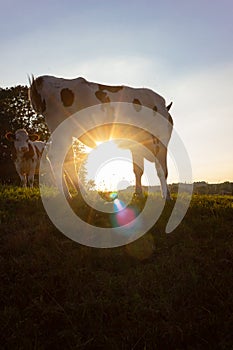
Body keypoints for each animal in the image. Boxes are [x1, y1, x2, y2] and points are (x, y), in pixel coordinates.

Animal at [29, 75, 174, 198]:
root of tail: (42, 80)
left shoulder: (136, 143)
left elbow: (138, 169)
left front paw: (138, 194)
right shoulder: (160, 139)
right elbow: (162, 169)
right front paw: (166, 196)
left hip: (65, 133)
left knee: (68, 158)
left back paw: (82, 193)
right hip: (62, 130)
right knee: (56, 157)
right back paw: (67, 195)